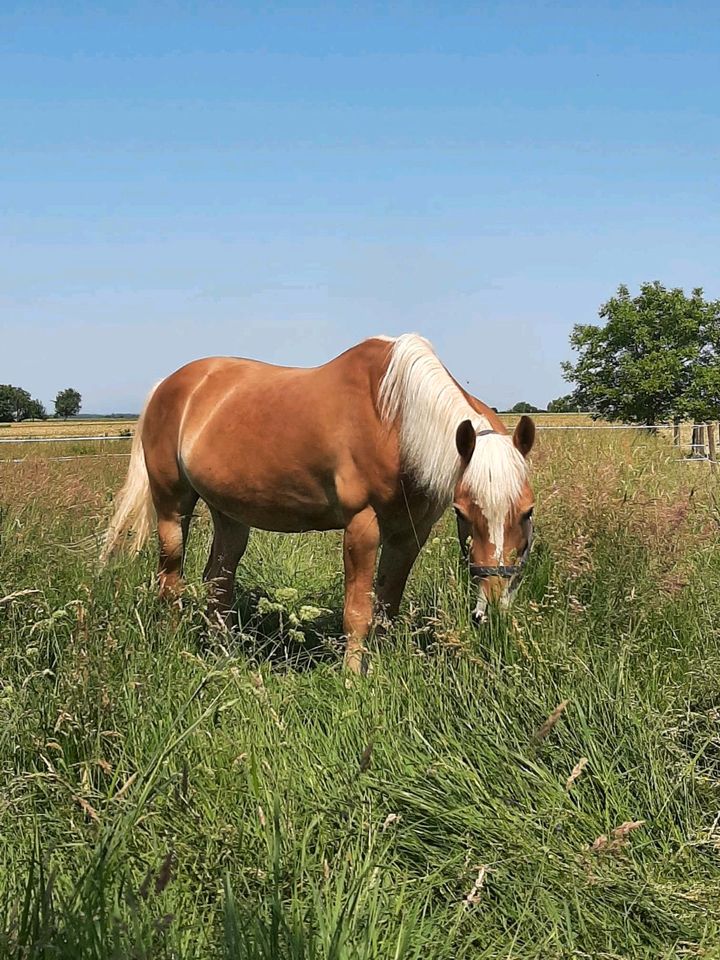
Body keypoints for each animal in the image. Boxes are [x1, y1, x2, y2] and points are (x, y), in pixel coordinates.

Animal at [101, 334, 536, 672]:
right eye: (463, 512)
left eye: (527, 512)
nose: (492, 608)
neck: (395, 419)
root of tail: (169, 384)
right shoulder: (362, 526)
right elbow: (357, 612)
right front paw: (353, 680)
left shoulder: (409, 534)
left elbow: (387, 607)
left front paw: (382, 668)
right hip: (172, 507)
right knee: (171, 580)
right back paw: (176, 646)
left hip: (230, 515)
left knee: (217, 583)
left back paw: (221, 655)